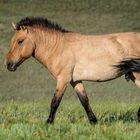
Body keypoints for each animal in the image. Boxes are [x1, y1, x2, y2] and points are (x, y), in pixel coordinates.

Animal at [3, 17, 140, 124]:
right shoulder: (75, 81)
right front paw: (93, 121)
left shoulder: (63, 79)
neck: (59, 47)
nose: (8, 64)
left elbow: (55, 102)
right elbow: (84, 101)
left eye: (20, 41)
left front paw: (48, 123)